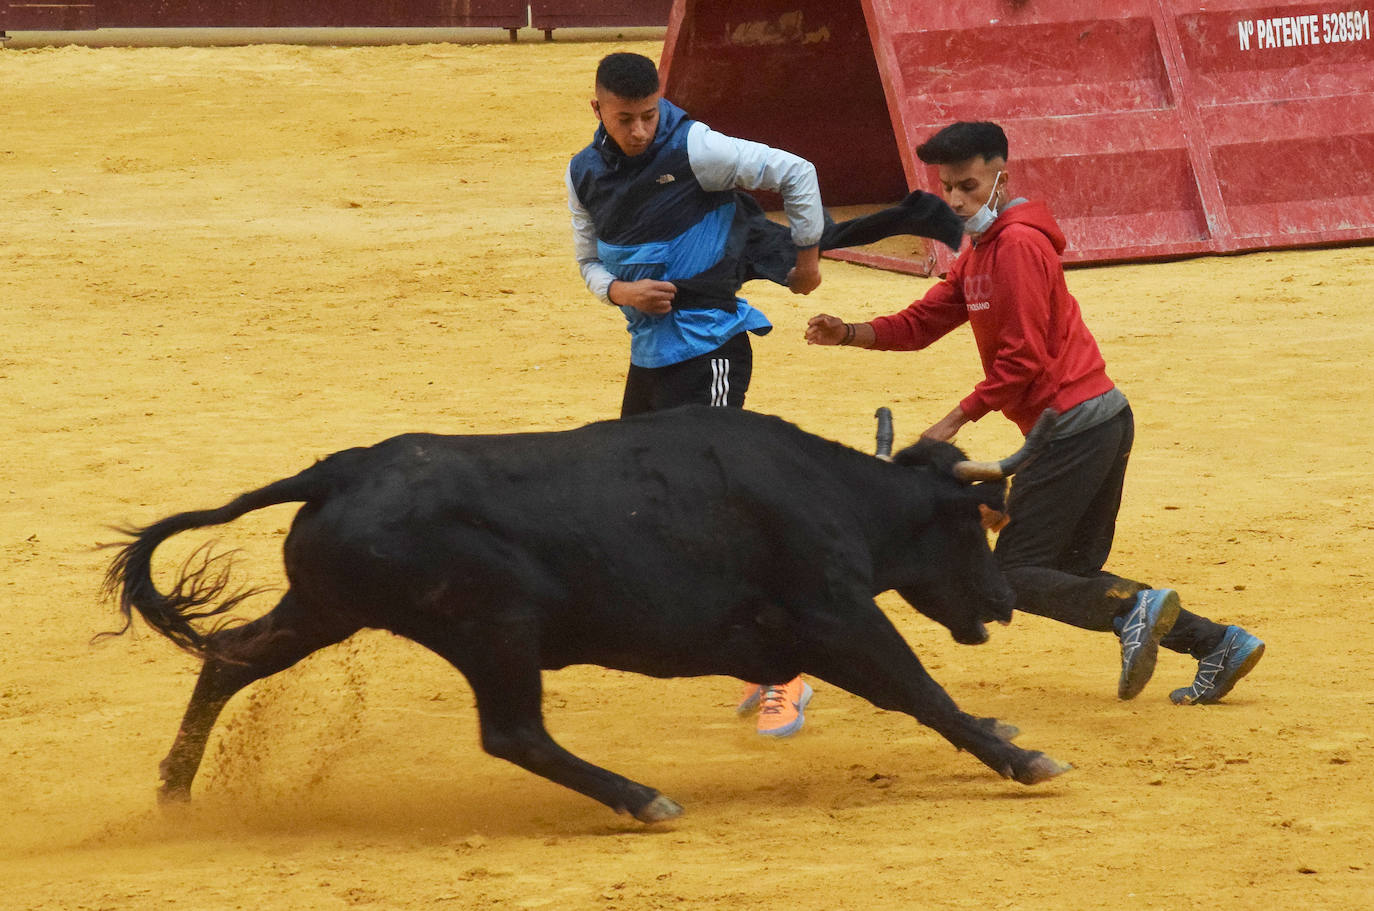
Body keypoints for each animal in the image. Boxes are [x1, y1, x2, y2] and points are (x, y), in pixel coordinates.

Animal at [107, 406, 1071, 824]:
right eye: (973, 524)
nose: (1003, 602)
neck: (831, 490)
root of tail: (337, 469)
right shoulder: (834, 616)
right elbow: (921, 690)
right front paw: (1024, 758)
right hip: (496, 627)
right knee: (514, 732)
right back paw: (643, 798)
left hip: (322, 608)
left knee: (229, 657)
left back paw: (174, 792)